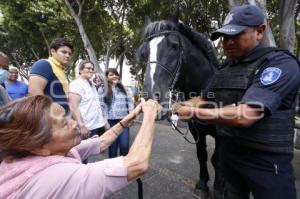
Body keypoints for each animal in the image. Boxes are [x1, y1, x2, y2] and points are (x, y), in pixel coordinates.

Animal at [137, 17, 224, 198]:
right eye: (145, 52)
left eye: (174, 46)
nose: (150, 96)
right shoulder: (197, 131)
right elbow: (202, 154)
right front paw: (202, 184)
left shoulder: (222, 135)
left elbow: (217, 160)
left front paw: (219, 189)